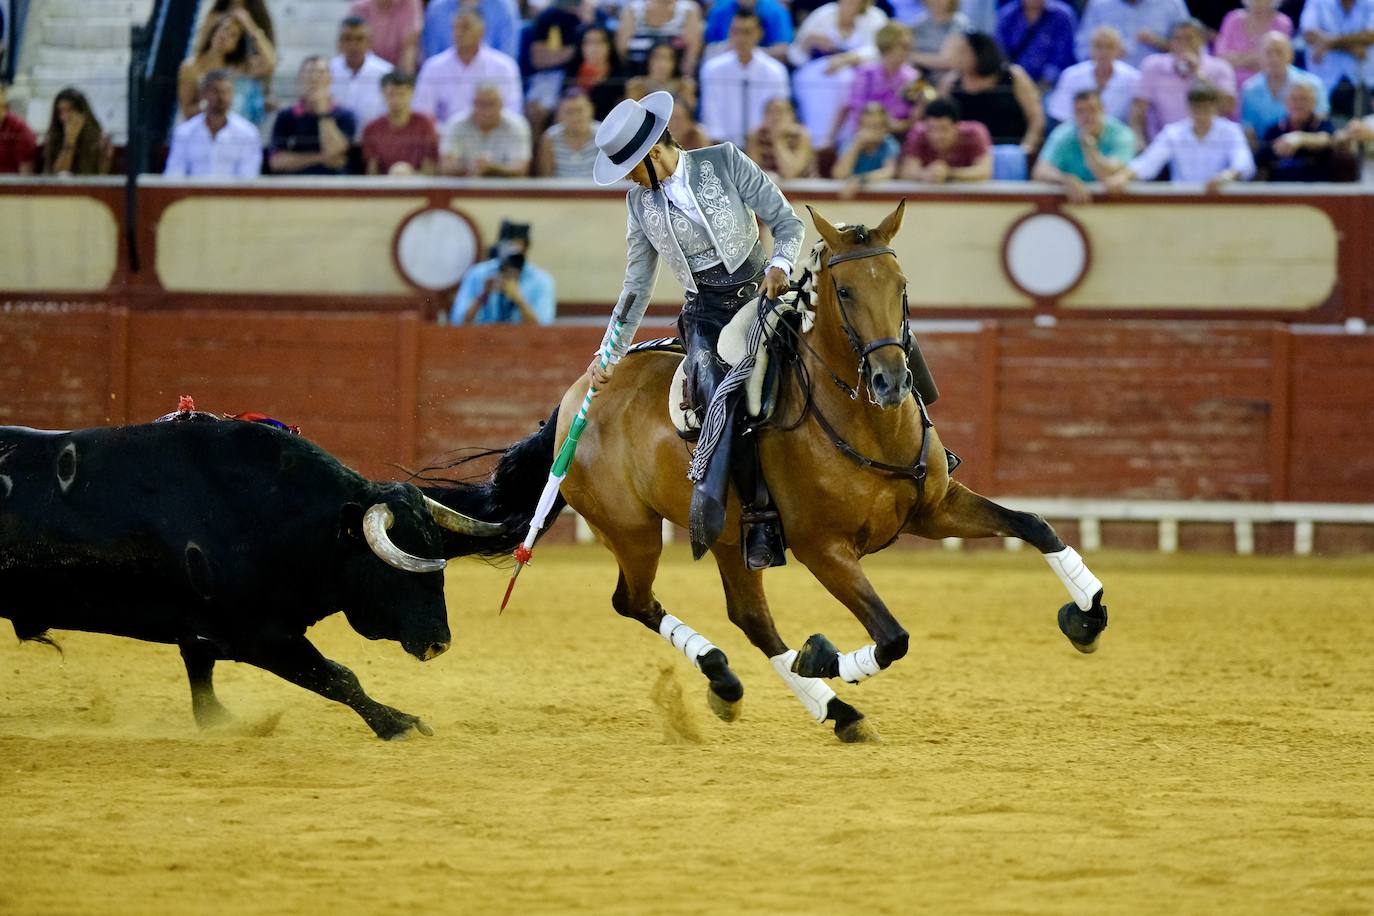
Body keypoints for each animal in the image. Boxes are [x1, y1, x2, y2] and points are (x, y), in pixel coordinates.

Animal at [0, 420, 511, 741]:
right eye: (395, 571)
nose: (438, 643)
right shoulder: (257, 635)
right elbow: (337, 676)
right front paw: (398, 723)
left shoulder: (205, 628)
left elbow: (200, 671)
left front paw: (220, 722)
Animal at [434, 200, 1110, 747]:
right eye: (844, 293)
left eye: (901, 285)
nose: (891, 381)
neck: (863, 421)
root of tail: (581, 393)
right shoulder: (822, 547)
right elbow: (892, 636)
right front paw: (821, 656)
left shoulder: (935, 508)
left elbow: (1035, 524)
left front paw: (1087, 617)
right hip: (632, 529)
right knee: (637, 600)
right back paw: (776, 689)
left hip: (728, 535)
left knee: (748, 616)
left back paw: (799, 702)